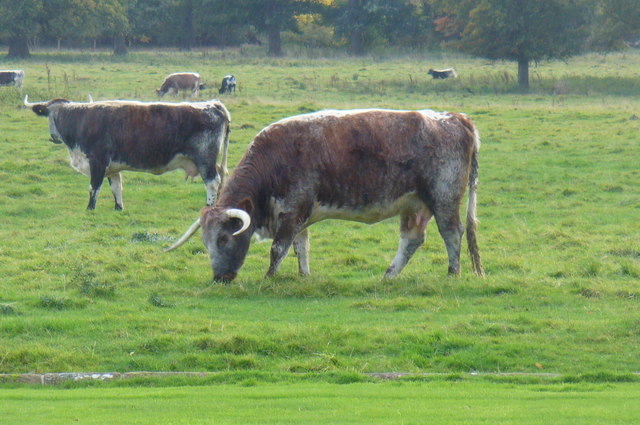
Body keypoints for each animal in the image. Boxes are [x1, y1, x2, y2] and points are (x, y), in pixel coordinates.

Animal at [27, 95, 232, 210]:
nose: (54, 137)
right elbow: (116, 187)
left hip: (205, 160)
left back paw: (209, 206)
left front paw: (90, 208)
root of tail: (213, 105)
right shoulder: (112, 167)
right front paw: (119, 208)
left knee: (212, 182)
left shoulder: (98, 161)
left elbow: (94, 187)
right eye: (49, 114)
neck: (82, 121)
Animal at [166, 109, 484, 282]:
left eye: (223, 238)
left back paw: (452, 272)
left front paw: (269, 278)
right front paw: (304, 275)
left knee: (452, 233)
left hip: (443, 199)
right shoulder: (297, 216)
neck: (275, 158)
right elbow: (301, 247)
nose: (220, 278)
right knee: (412, 240)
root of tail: (455, 118)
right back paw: (389, 275)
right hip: (415, 205)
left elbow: (278, 249)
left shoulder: (292, 211)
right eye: (205, 242)